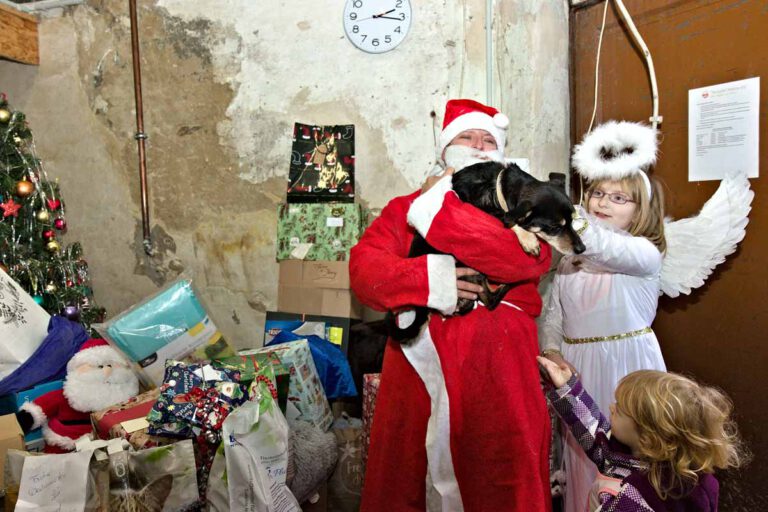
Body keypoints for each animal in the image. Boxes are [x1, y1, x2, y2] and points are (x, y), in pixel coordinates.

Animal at [388, 162, 584, 342]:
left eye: (572, 221)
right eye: (554, 227)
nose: (582, 249)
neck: (497, 188)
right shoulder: (486, 210)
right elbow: (507, 218)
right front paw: (528, 239)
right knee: (490, 300)